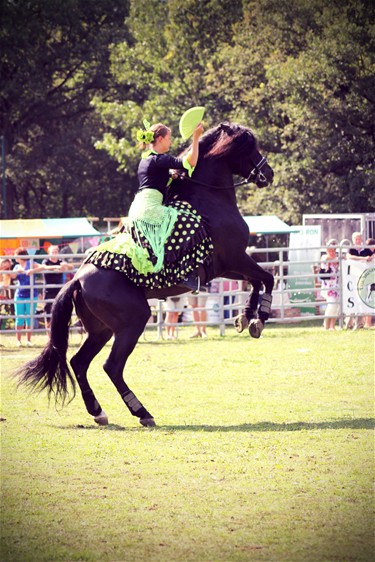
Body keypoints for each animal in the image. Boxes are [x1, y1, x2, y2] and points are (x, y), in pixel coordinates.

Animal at [16, 122, 274, 426]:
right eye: (249, 146)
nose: (268, 173)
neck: (209, 200)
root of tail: (77, 278)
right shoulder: (236, 258)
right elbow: (267, 278)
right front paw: (259, 318)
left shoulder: (227, 267)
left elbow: (256, 281)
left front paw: (245, 317)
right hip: (133, 321)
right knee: (111, 366)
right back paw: (142, 412)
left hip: (101, 329)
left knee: (79, 362)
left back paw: (98, 411)